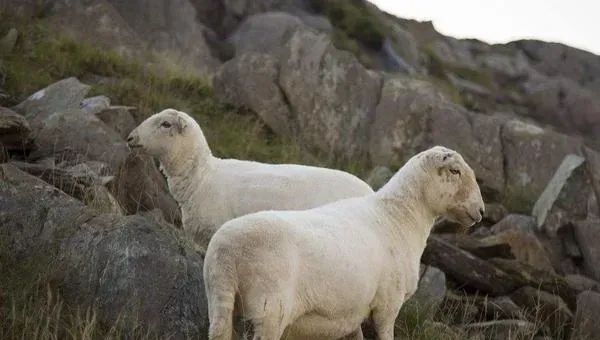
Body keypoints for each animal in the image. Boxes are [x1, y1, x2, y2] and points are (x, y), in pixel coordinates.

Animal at [204, 145, 486, 340]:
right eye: (455, 171)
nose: (481, 211)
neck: (399, 217)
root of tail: (228, 253)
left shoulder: (351, 314)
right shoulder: (387, 304)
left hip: (220, 301)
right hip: (269, 310)